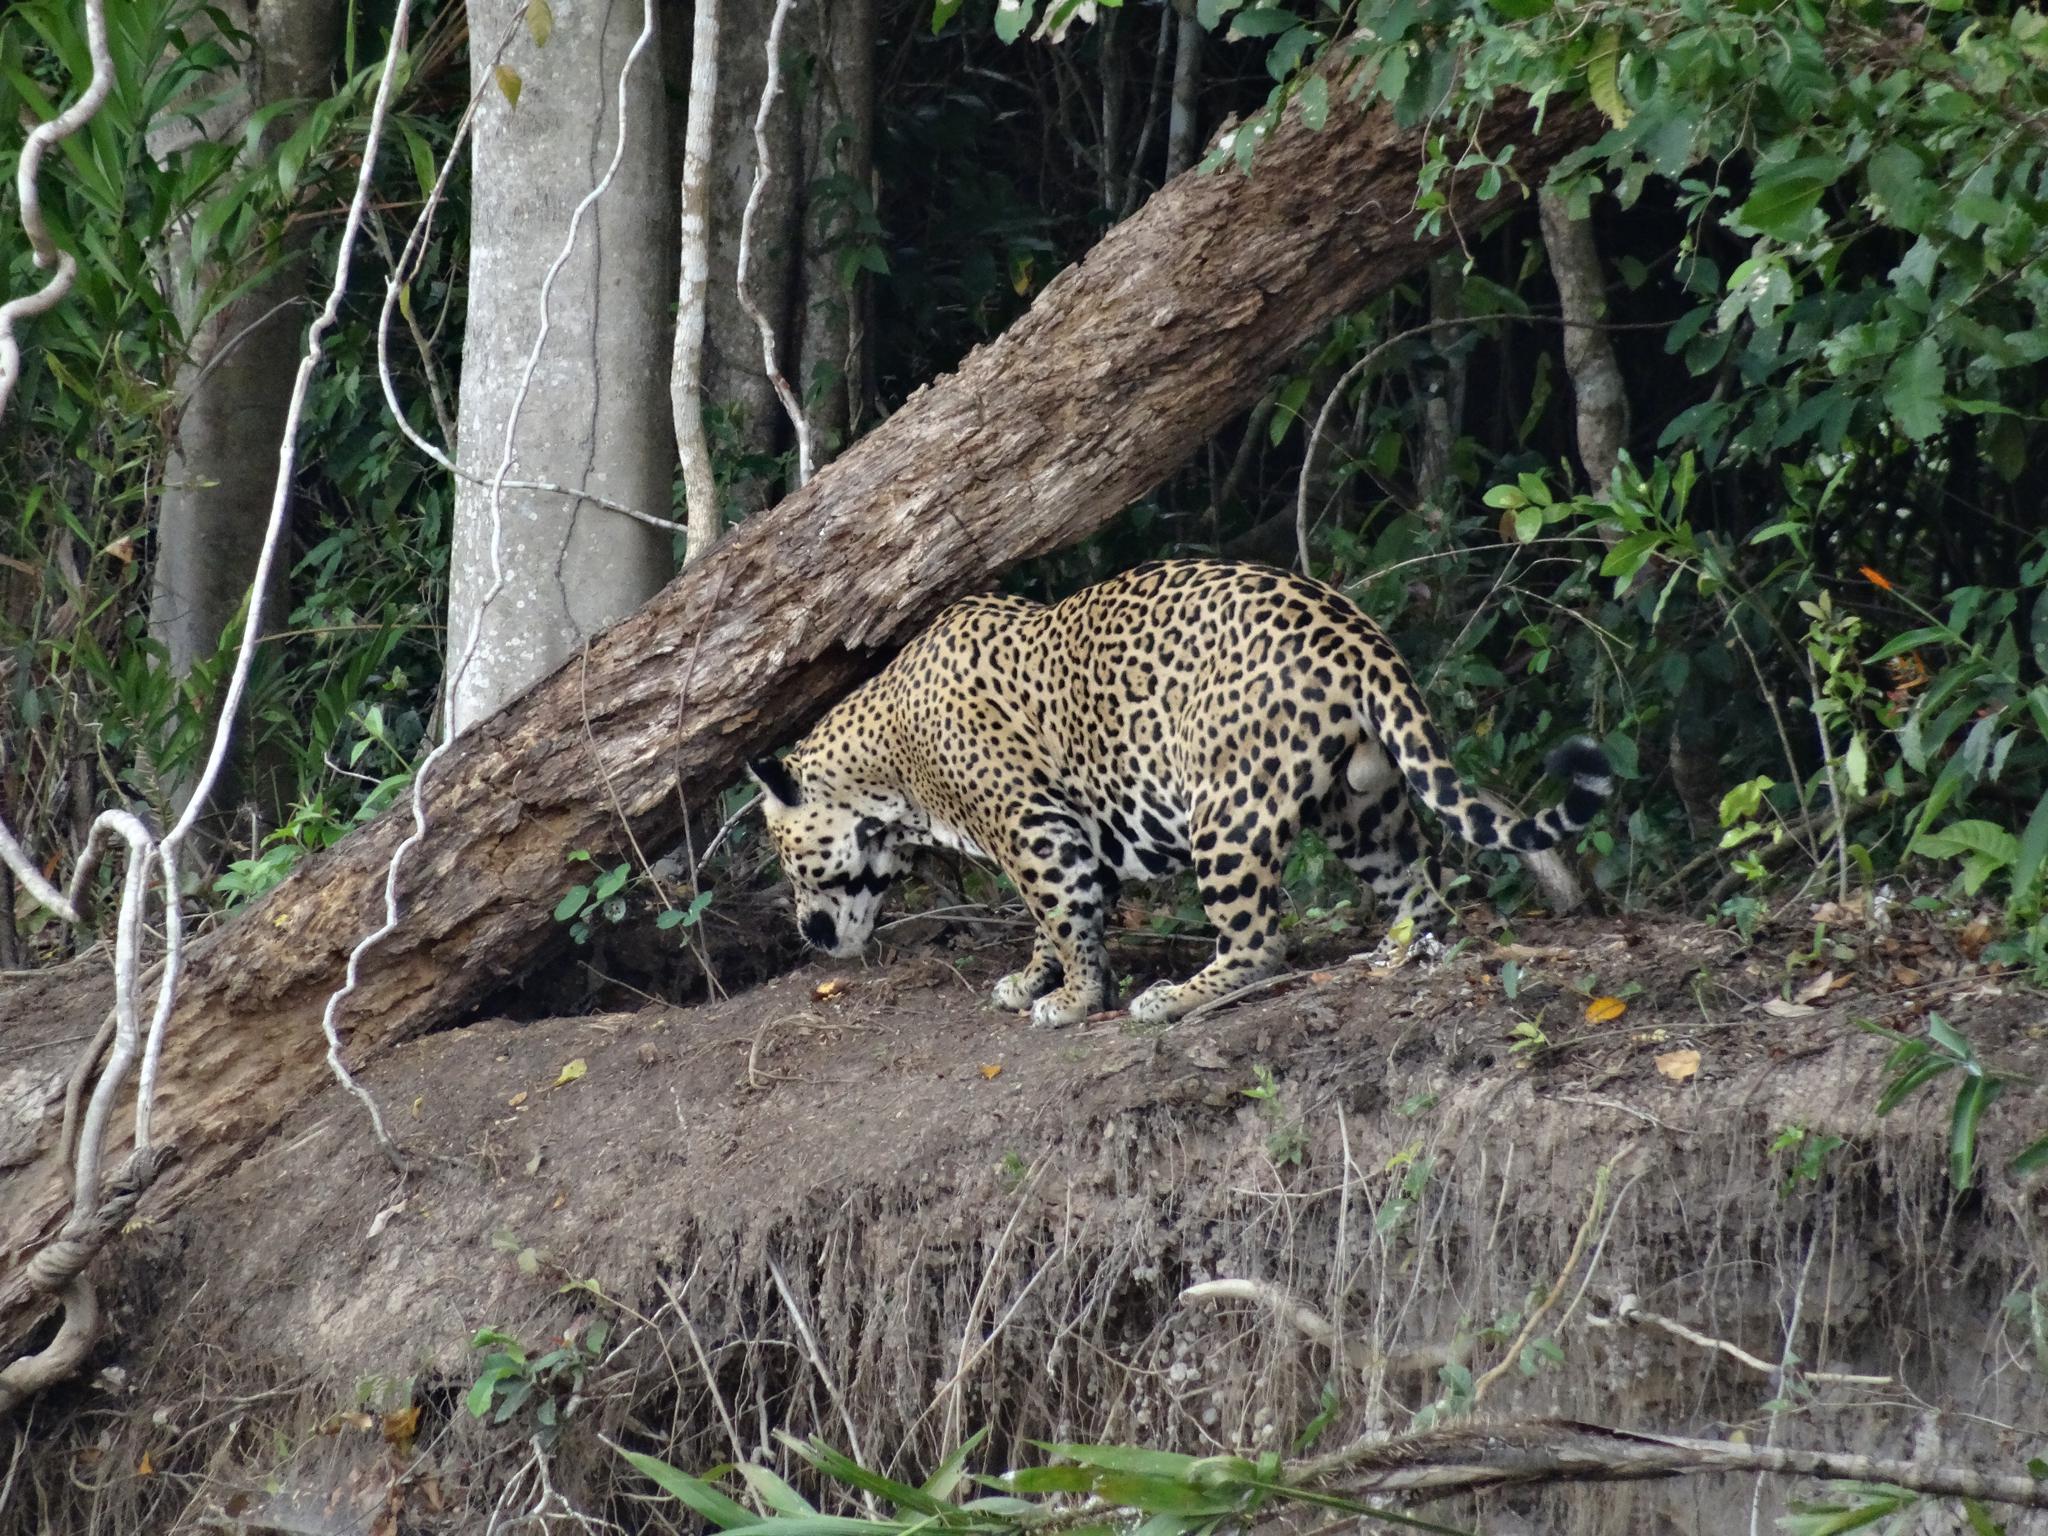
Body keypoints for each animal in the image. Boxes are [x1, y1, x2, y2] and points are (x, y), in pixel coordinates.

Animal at [749, 558, 1614, 1026]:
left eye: (793, 868)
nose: (809, 935)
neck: (890, 769)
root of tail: (1354, 631)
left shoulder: (1033, 831)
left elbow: (1058, 915)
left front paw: (1073, 1000)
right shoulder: (1067, 836)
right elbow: (1056, 924)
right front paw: (1033, 980)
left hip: (1226, 811)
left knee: (1262, 940)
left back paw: (1173, 997)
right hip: (1361, 808)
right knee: (1421, 892)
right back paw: (1397, 954)